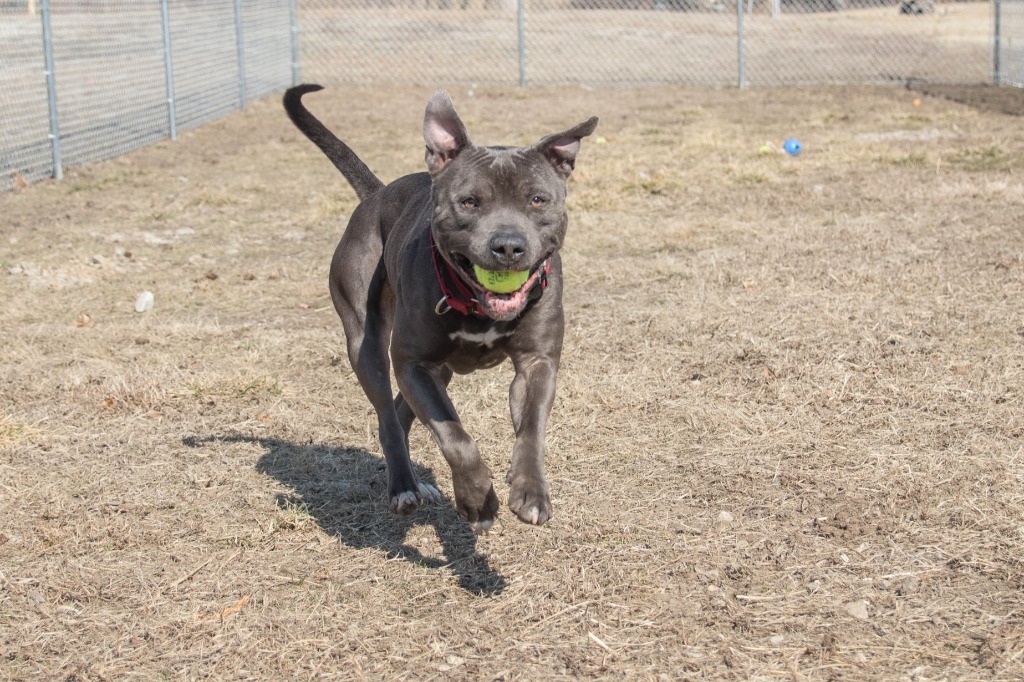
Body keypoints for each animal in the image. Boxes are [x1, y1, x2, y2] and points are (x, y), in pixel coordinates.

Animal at [284, 86, 598, 532]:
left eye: (538, 200)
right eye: (469, 202)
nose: (508, 246)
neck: (476, 304)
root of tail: (378, 193)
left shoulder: (537, 362)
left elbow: (532, 427)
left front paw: (530, 490)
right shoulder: (414, 363)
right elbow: (455, 438)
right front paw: (476, 500)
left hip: (439, 368)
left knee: (401, 411)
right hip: (367, 344)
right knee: (386, 415)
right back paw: (404, 487)